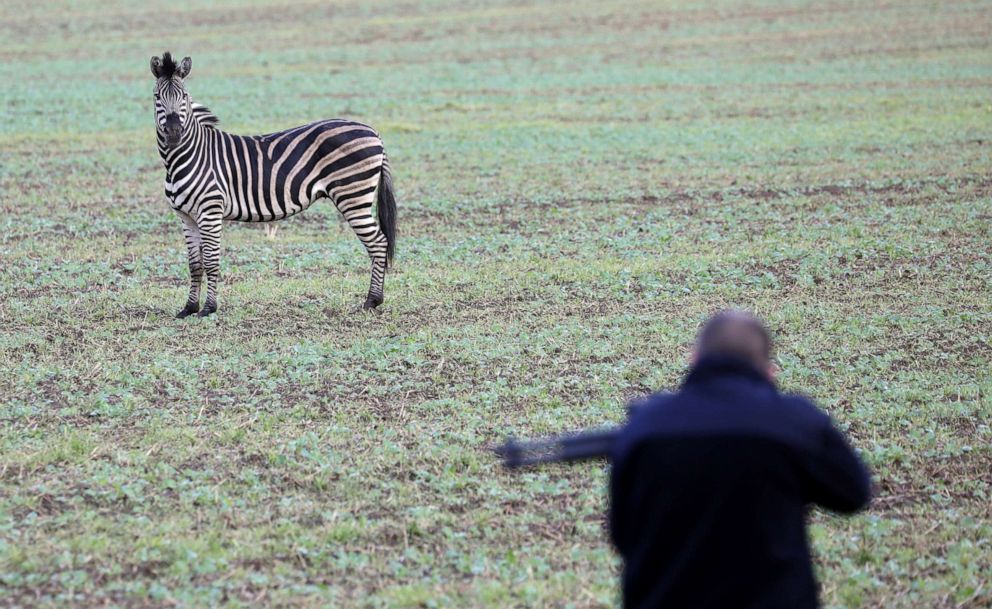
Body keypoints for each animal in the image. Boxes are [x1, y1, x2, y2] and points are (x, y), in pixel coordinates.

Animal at [149, 52, 398, 318]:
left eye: (184, 96)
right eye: (157, 97)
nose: (174, 133)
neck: (186, 156)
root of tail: (372, 131)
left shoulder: (210, 210)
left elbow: (211, 262)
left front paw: (208, 308)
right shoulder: (186, 216)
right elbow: (195, 264)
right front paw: (188, 308)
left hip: (353, 195)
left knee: (378, 243)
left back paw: (372, 300)